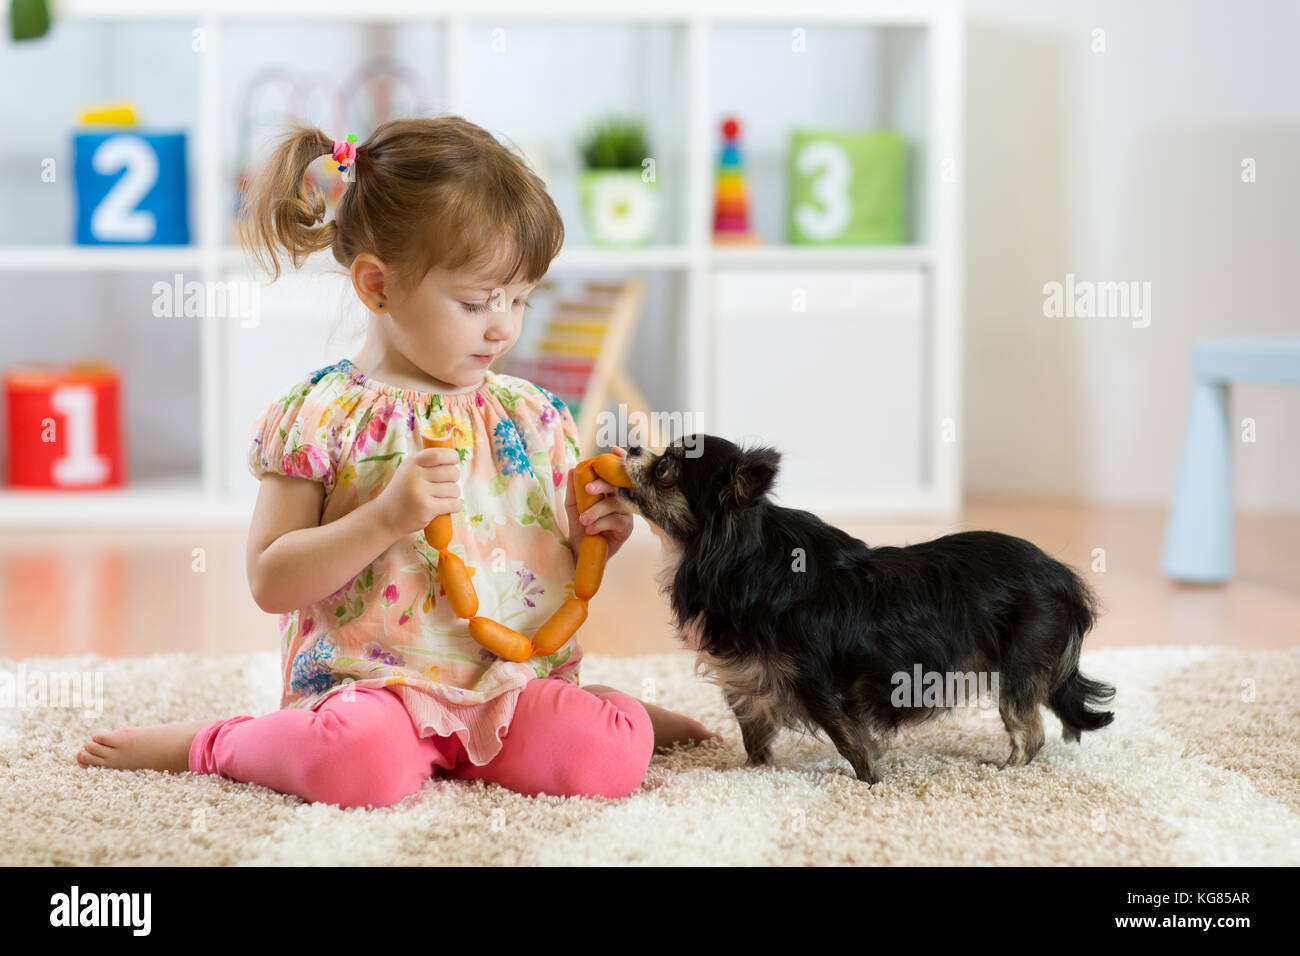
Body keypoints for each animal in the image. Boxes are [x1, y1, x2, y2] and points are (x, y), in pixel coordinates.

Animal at [613, 434, 1112, 785]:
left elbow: (852, 743)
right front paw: (756, 773)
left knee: (1030, 731)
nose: (631, 445)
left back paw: (1008, 770)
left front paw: (870, 784)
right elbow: (755, 738)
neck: (734, 556)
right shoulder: (750, 684)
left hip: (1015, 670)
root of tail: (1063, 577)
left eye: (664, 468)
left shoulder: (819, 687)